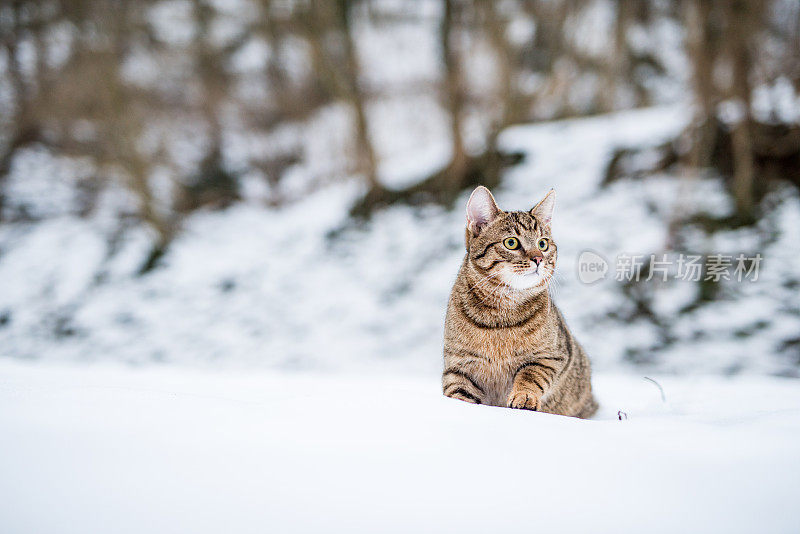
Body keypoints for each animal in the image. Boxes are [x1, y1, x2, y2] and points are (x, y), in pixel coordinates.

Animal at [440, 186, 596, 420]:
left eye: (543, 243)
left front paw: (525, 396)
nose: (538, 258)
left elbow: (530, 375)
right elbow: (458, 394)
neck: (500, 313)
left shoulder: (550, 357)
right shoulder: (458, 366)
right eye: (511, 242)